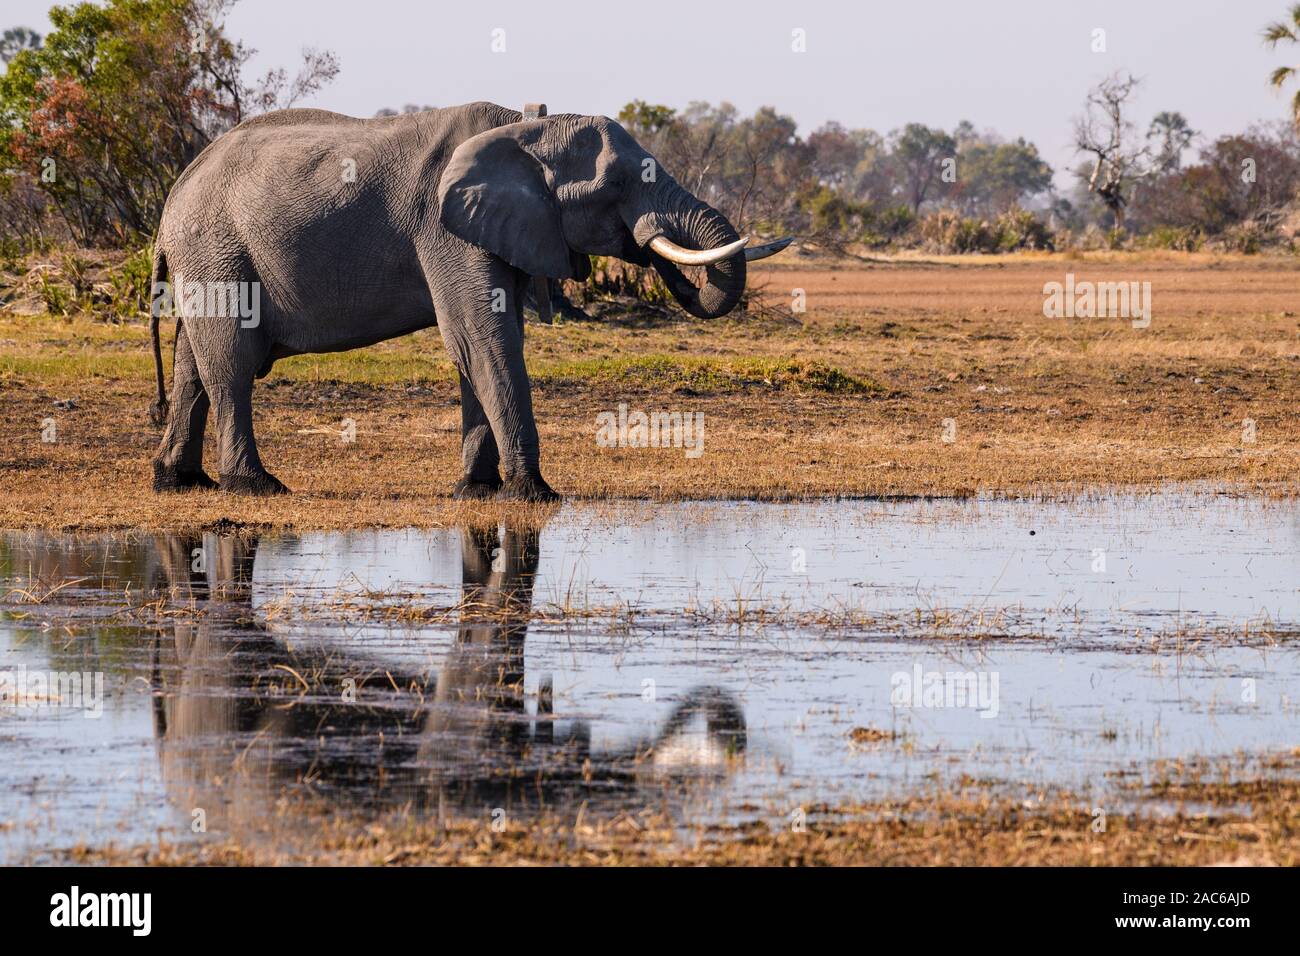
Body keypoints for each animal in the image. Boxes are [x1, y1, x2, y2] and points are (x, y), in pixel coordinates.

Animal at [147, 101, 791, 500]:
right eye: (614, 185)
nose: (652, 243)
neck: (525, 128)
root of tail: (174, 191)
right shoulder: (444, 231)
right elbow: (482, 339)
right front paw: (534, 495)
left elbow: (480, 345)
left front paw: (476, 491)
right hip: (215, 250)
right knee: (231, 364)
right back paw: (255, 487)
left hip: (207, 257)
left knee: (192, 364)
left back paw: (178, 481)